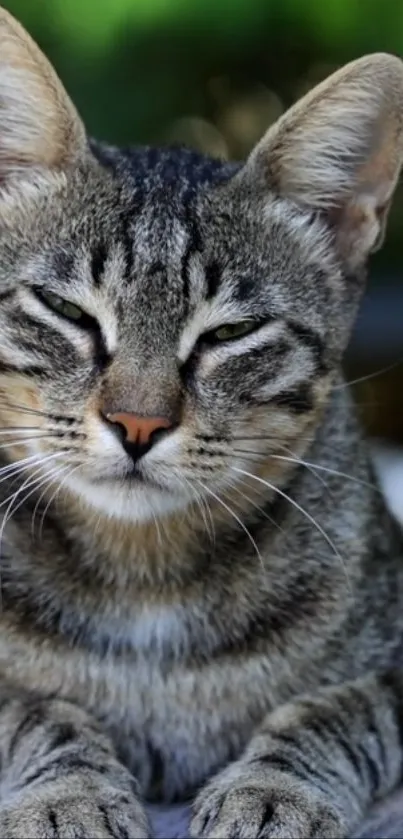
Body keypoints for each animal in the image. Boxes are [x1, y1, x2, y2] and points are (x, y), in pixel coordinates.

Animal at [0, 6, 403, 839]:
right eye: (63, 310)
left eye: (230, 333)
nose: (136, 423)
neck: (144, 571)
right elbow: (37, 708)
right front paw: (69, 793)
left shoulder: (389, 672)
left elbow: (331, 710)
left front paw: (274, 788)